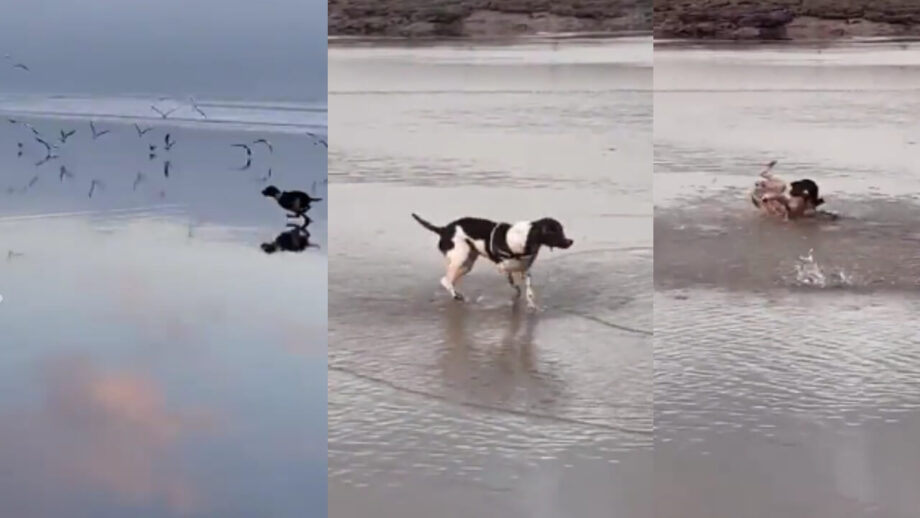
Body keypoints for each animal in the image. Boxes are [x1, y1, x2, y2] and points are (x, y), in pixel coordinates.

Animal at [412, 214, 572, 308]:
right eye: (554, 232)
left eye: (562, 230)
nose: (571, 241)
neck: (524, 238)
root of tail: (443, 229)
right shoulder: (503, 267)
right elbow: (512, 279)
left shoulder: (525, 269)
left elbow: (528, 289)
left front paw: (530, 303)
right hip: (460, 257)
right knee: (445, 280)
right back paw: (456, 296)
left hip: (467, 263)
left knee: (451, 279)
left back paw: (458, 293)